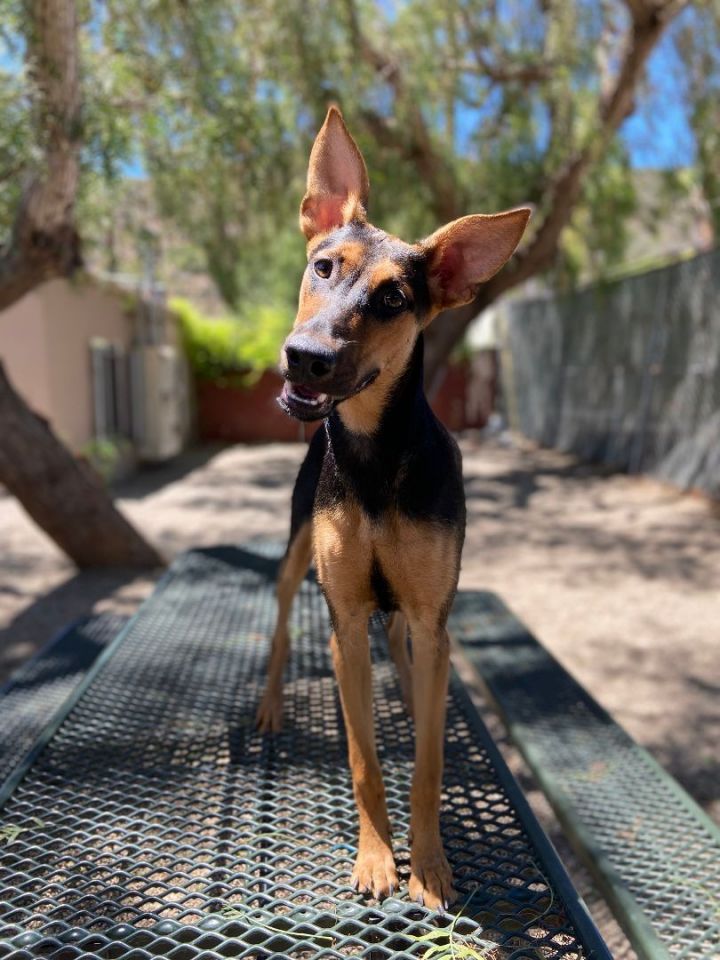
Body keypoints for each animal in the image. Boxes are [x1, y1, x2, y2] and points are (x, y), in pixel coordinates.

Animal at [258, 109, 528, 912]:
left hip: (416, 609)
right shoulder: (345, 618)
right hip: (295, 555)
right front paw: (378, 858)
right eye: (323, 267)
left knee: (409, 654)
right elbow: (362, 759)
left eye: (391, 300)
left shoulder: (434, 616)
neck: (377, 460)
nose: (304, 358)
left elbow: (429, 764)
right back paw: (271, 705)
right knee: (279, 628)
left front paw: (430, 864)